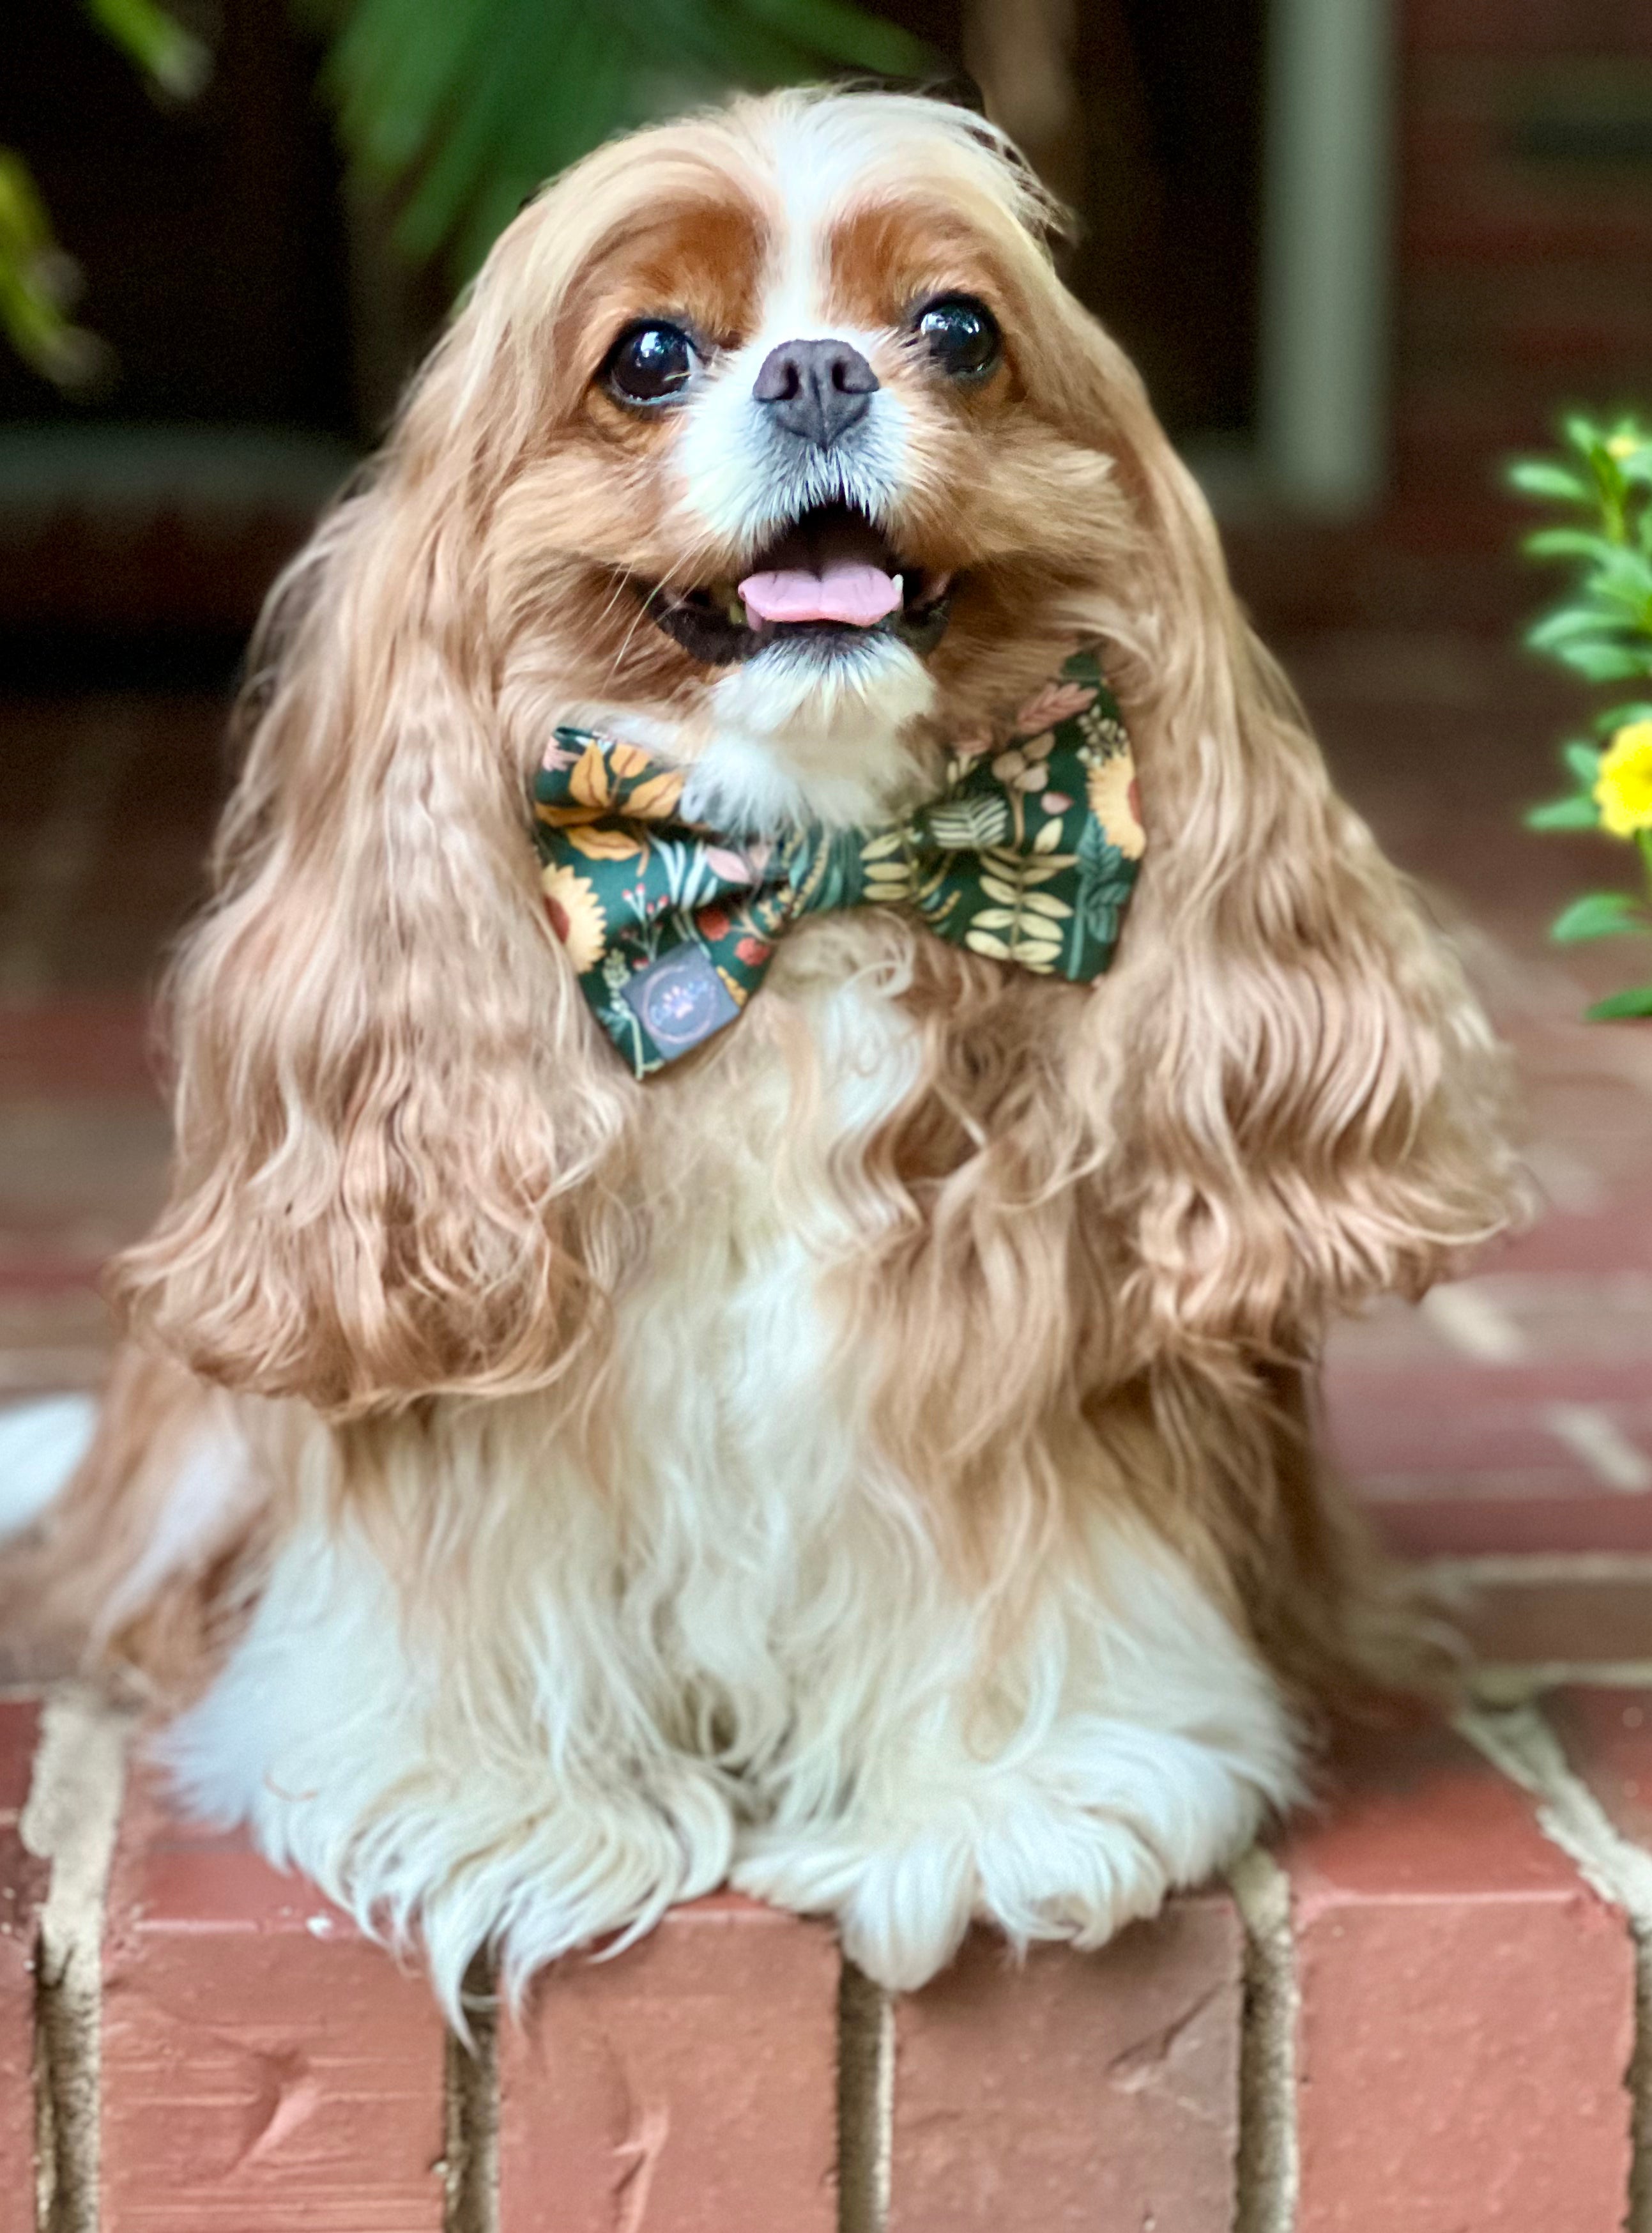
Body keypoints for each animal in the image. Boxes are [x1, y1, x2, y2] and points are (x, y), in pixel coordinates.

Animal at [6, 87, 1518, 2018]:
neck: (792, 889)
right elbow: (469, 1590)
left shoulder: (1031, 1360)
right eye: (650, 354)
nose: (815, 370)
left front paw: (999, 1793)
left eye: (957, 329)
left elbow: (1037, 1567)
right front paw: (507, 1796)